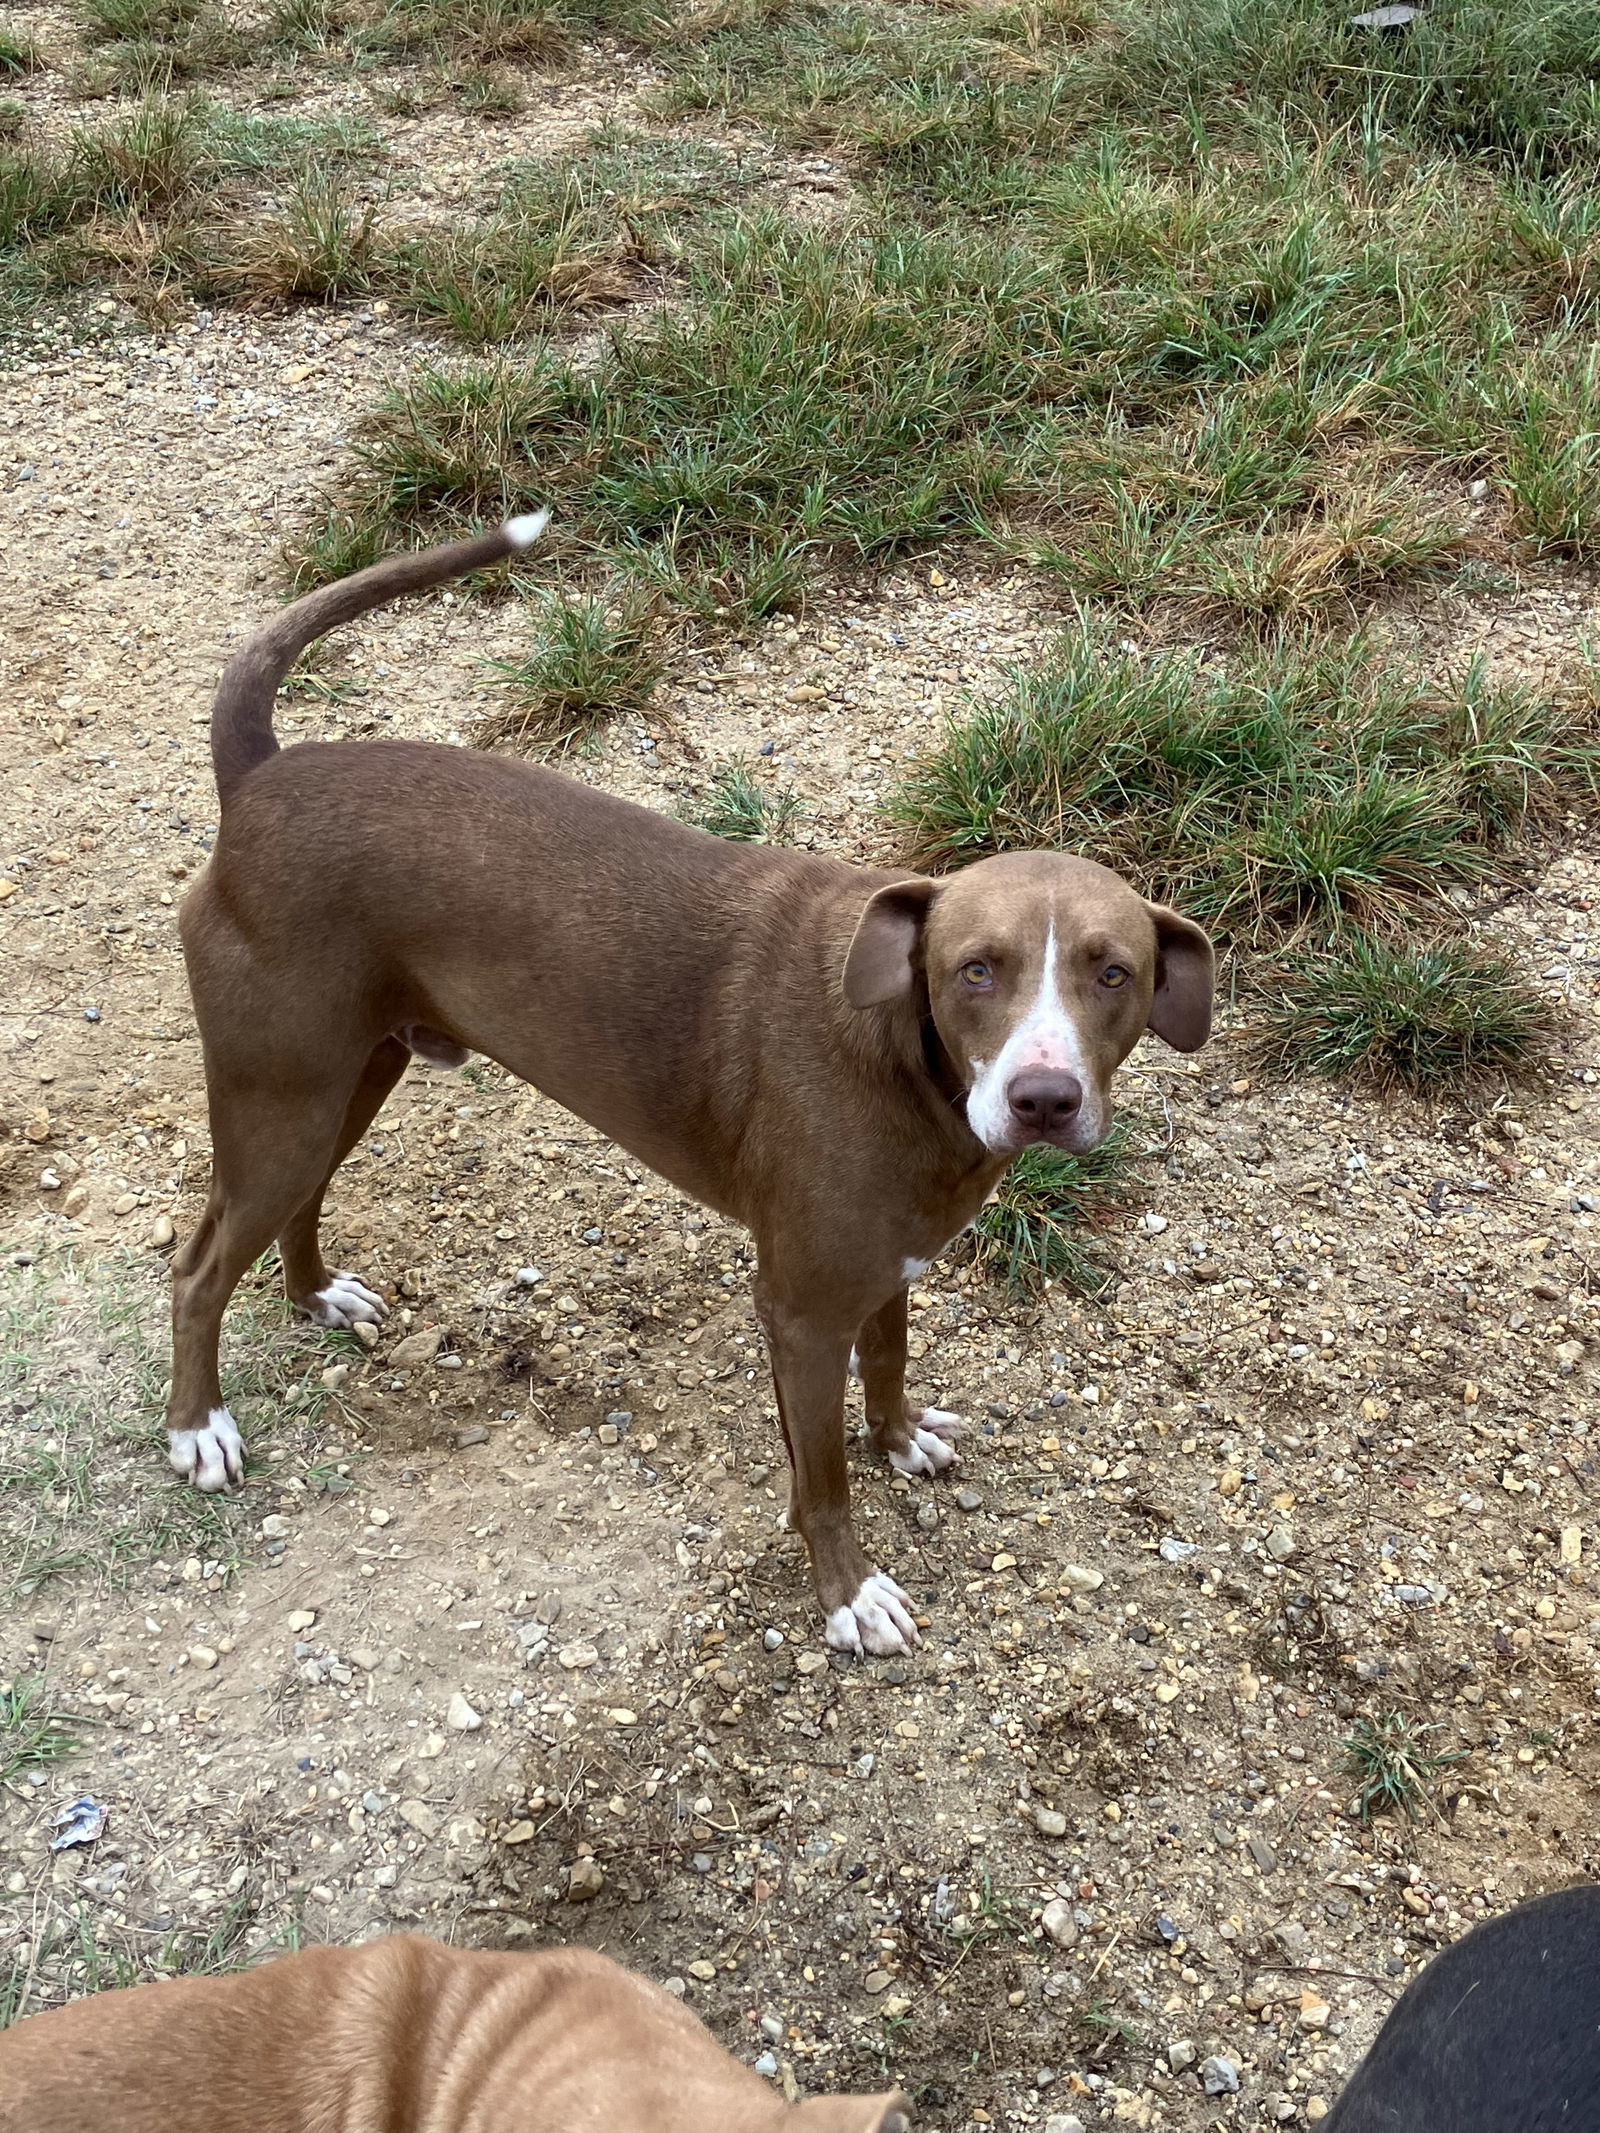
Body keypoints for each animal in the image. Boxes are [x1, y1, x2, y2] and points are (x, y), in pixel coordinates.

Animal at [169, 516, 1211, 1646]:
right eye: (975, 969)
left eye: (1114, 972)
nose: (1043, 1101)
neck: (905, 1058)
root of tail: (259, 781)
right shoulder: (799, 1308)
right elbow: (821, 1477)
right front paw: (850, 1595)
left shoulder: (886, 1264)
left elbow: (888, 1364)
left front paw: (898, 1441)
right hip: (285, 1095)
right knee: (198, 1269)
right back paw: (198, 1430)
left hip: (348, 1079)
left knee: (293, 1207)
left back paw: (317, 1296)